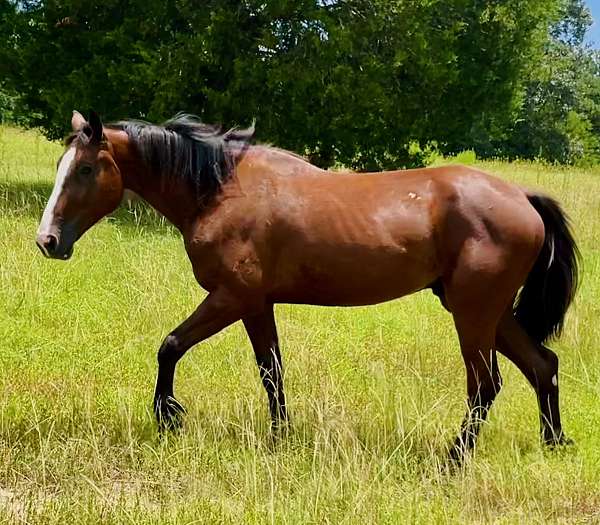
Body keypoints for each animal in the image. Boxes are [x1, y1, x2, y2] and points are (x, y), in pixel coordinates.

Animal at [35, 109, 580, 458]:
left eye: (86, 169)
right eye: (61, 167)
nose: (47, 240)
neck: (220, 189)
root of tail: (523, 198)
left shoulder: (232, 297)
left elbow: (170, 346)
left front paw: (168, 416)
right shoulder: (257, 305)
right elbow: (271, 372)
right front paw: (280, 439)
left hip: (473, 314)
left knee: (486, 384)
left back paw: (454, 457)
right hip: (490, 312)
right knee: (542, 366)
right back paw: (554, 443)